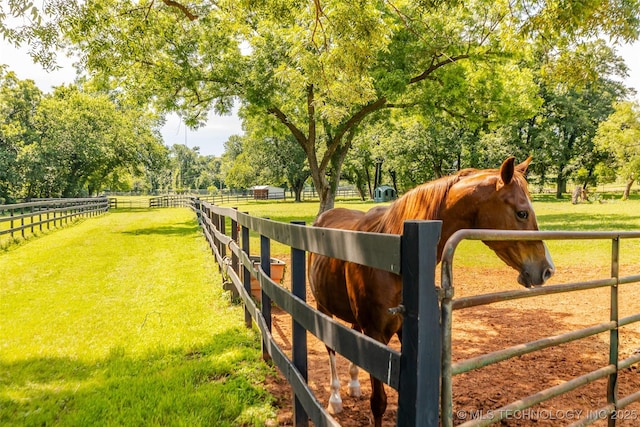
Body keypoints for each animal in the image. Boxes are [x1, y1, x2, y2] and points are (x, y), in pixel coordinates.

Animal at [308, 157, 552, 427]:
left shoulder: (402, 331)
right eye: (522, 213)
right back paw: (335, 399)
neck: (394, 256)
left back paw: (353, 385)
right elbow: (379, 402)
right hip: (323, 308)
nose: (546, 269)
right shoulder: (375, 333)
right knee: (331, 348)